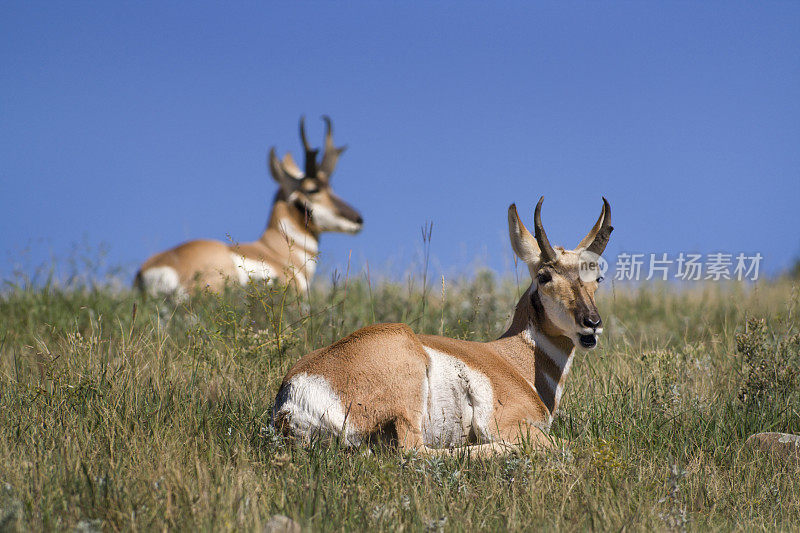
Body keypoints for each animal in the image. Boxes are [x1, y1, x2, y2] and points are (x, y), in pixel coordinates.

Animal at [272, 197, 616, 456]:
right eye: (544, 276)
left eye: (597, 276)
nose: (592, 324)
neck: (512, 359)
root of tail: (291, 393)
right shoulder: (512, 425)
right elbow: (570, 445)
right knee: (414, 452)